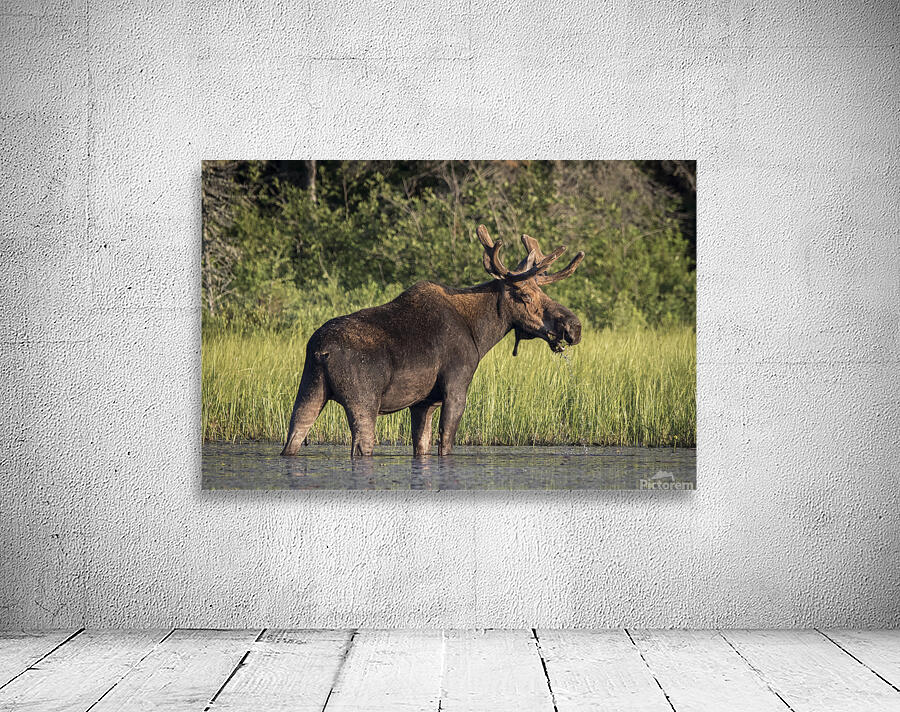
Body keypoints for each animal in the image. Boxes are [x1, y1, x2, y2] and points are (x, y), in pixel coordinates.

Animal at [281, 225, 585, 457]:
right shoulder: (456, 387)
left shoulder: (423, 402)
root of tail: (322, 351)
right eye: (525, 296)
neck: (481, 333)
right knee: (361, 447)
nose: (574, 326)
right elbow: (446, 445)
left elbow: (422, 447)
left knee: (292, 439)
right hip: (363, 401)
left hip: (309, 391)